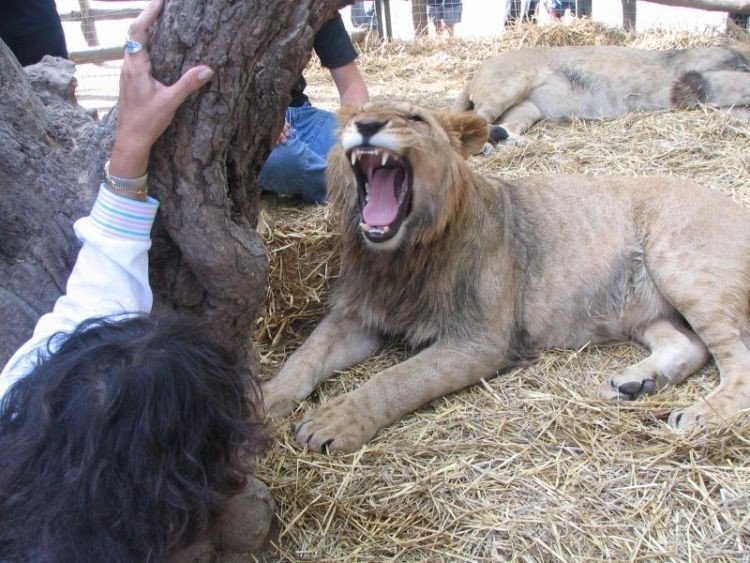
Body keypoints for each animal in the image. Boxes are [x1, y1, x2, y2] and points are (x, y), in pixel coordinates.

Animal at [262, 101, 750, 454]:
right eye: (354, 114)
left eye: (414, 118)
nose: (365, 124)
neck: (400, 258)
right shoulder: (359, 315)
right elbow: (305, 355)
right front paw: (264, 400)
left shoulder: (480, 340)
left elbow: (398, 380)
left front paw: (334, 422)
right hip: (641, 308)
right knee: (687, 344)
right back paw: (633, 383)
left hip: (682, 268)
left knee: (736, 362)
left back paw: (700, 413)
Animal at [452, 46, 750, 143]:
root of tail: (478, 71)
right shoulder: (697, 75)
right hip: (508, 87)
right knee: (470, 122)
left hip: (527, 108)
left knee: (504, 126)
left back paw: (515, 142)